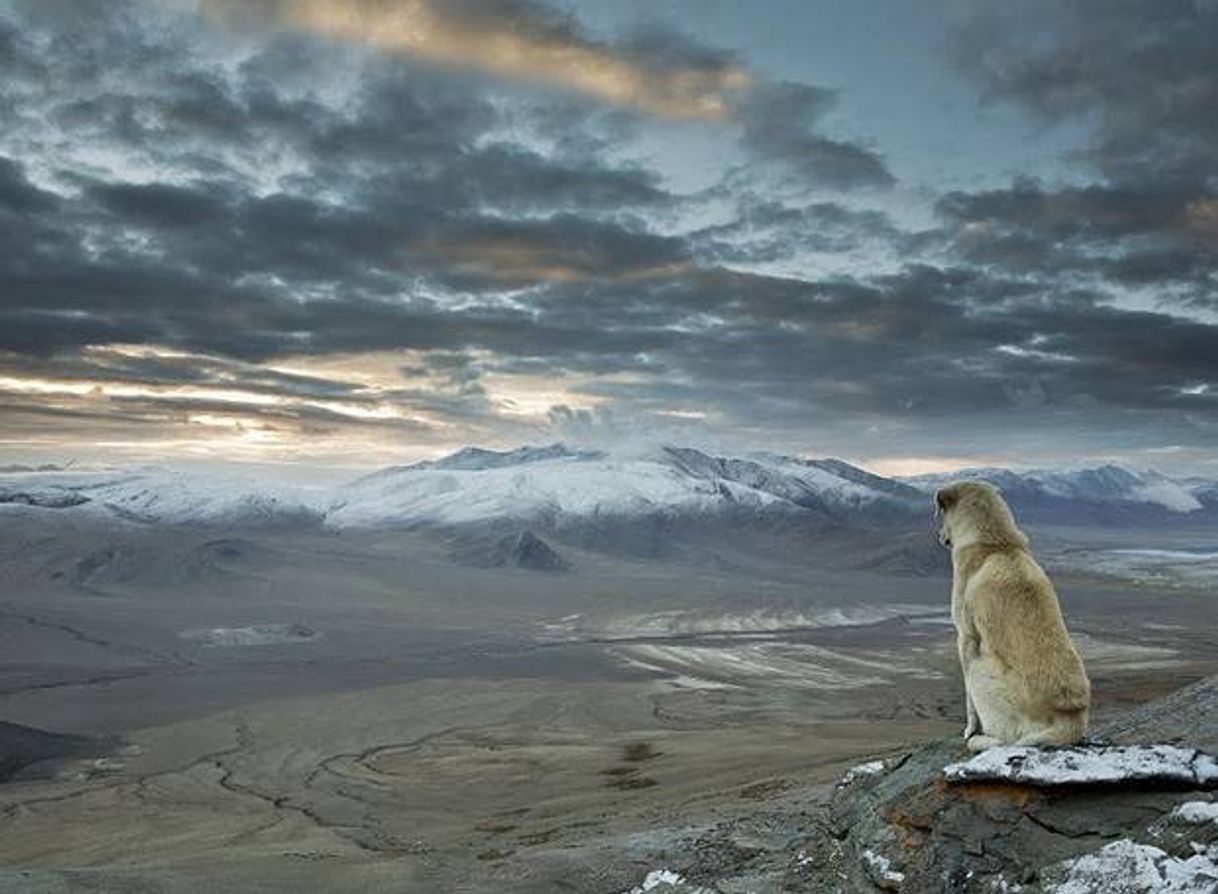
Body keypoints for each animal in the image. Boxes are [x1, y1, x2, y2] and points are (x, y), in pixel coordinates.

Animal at [930, 479, 1096, 755]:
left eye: (940, 514)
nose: (939, 536)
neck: (996, 543)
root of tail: (1069, 722)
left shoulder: (965, 637)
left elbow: (969, 704)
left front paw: (969, 730)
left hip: (979, 668)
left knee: (1005, 741)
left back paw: (978, 740)